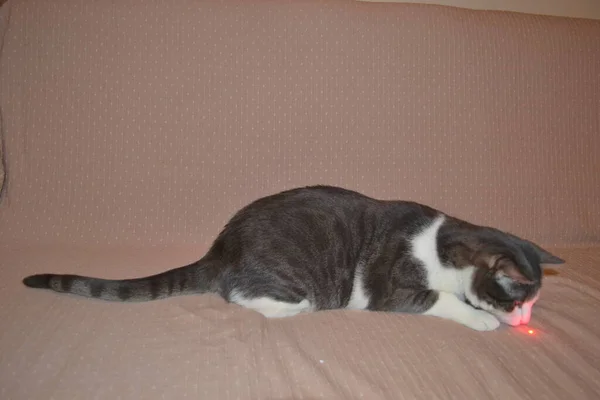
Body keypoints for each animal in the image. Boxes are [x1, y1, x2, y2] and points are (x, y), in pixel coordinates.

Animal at [21, 186, 564, 330]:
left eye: (534, 304)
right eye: (517, 301)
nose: (525, 321)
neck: (444, 242)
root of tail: (220, 249)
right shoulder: (391, 287)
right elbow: (439, 299)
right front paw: (481, 319)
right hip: (292, 278)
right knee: (242, 295)